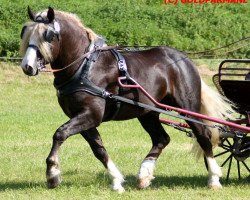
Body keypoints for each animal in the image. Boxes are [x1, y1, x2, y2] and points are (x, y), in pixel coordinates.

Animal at [20, 7, 232, 192]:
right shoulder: (82, 117)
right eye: (25, 33)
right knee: (161, 139)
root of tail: (184, 59)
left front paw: (52, 174)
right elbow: (98, 149)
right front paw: (116, 181)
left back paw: (214, 178)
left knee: (203, 135)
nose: (27, 66)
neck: (84, 67)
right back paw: (144, 175)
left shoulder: (91, 115)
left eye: (47, 35)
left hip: (188, 107)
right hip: (147, 112)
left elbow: (59, 134)